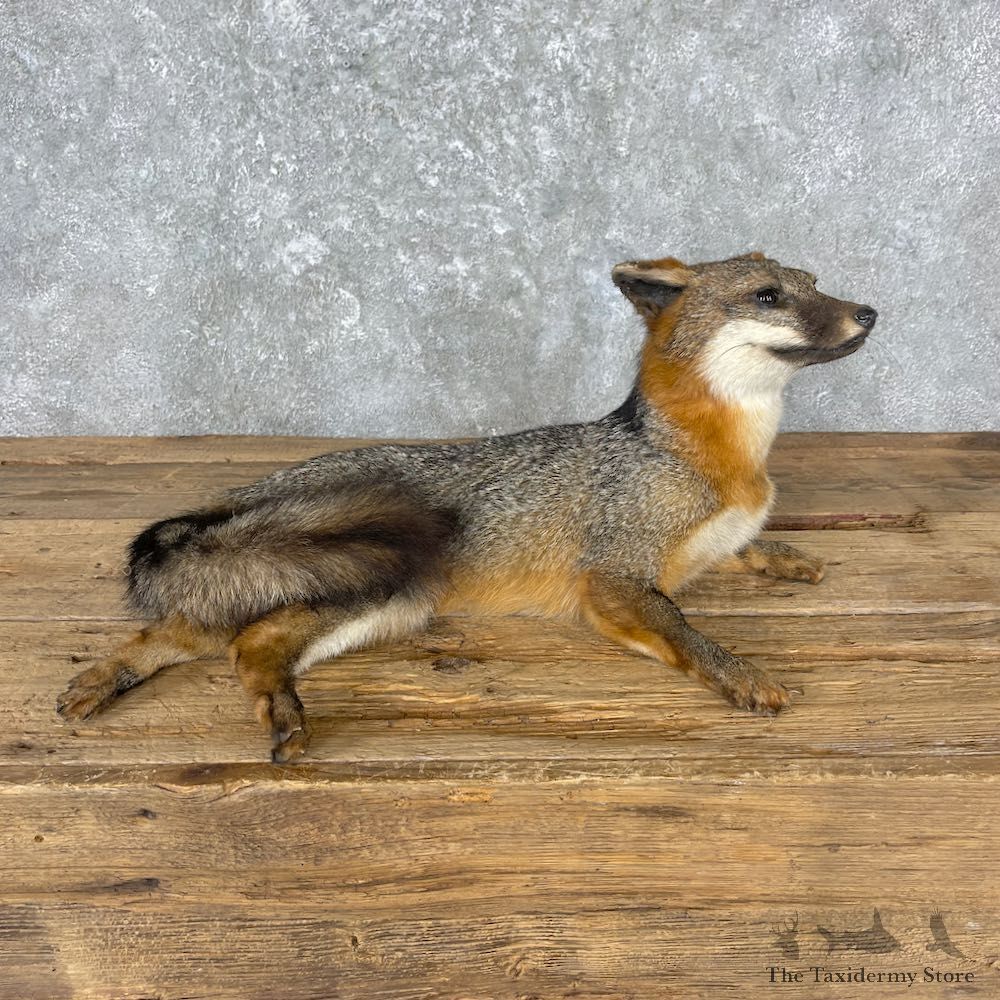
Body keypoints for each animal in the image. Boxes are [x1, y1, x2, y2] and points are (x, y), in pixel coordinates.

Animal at [56, 251, 877, 763]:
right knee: (236, 641)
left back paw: (112, 680)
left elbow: (746, 545)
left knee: (210, 635)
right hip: (382, 584)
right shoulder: (613, 580)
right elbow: (686, 631)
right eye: (770, 296)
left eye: (817, 283)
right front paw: (742, 673)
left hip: (376, 603)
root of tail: (261, 492)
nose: (869, 311)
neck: (723, 457)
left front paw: (785, 556)